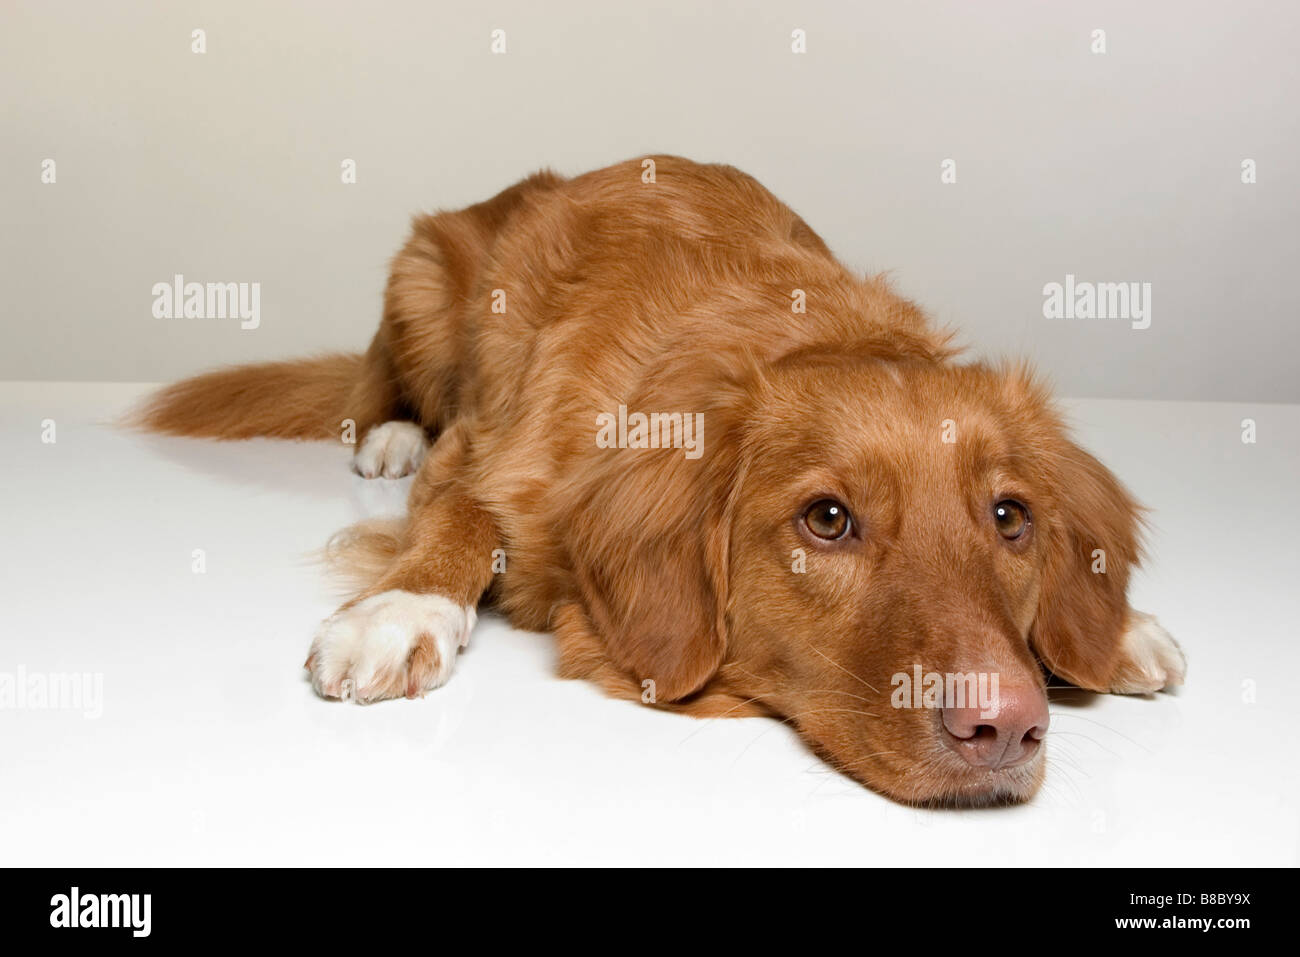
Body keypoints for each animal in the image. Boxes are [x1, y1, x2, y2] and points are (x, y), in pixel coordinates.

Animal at [139, 153, 1190, 806]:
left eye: (1011, 516)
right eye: (827, 519)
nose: (1006, 727)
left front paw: (1116, 627)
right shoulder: (485, 452)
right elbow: (458, 522)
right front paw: (400, 609)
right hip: (421, 281)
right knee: (385, 391)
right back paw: (388, 433)